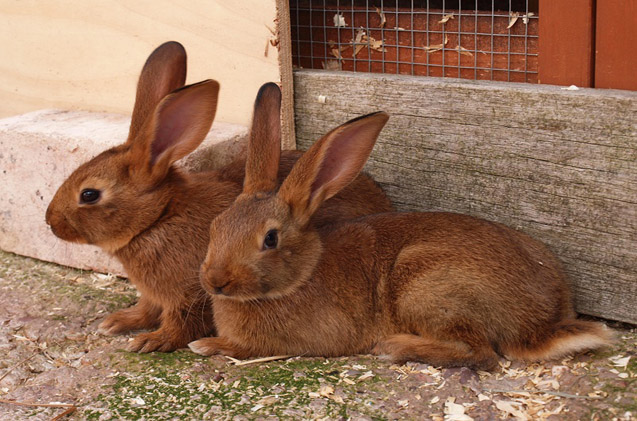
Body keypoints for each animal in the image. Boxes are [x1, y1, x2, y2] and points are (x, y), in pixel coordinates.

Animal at [44, 41, 392, 352]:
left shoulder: (189, 294)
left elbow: (180, 323)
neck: (158, 218)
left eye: (89, 194)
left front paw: (151, 341)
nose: (50, 222)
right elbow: (146, 308)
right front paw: (119, 321)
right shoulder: (156, 294)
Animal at [193, 103, 612, 370]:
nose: (215, 281)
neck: (301, 274)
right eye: (216, 226)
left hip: (426, 287)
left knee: (481, 354)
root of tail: (538, 325)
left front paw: (204, 344)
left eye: (270, 240)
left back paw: (395, 347)